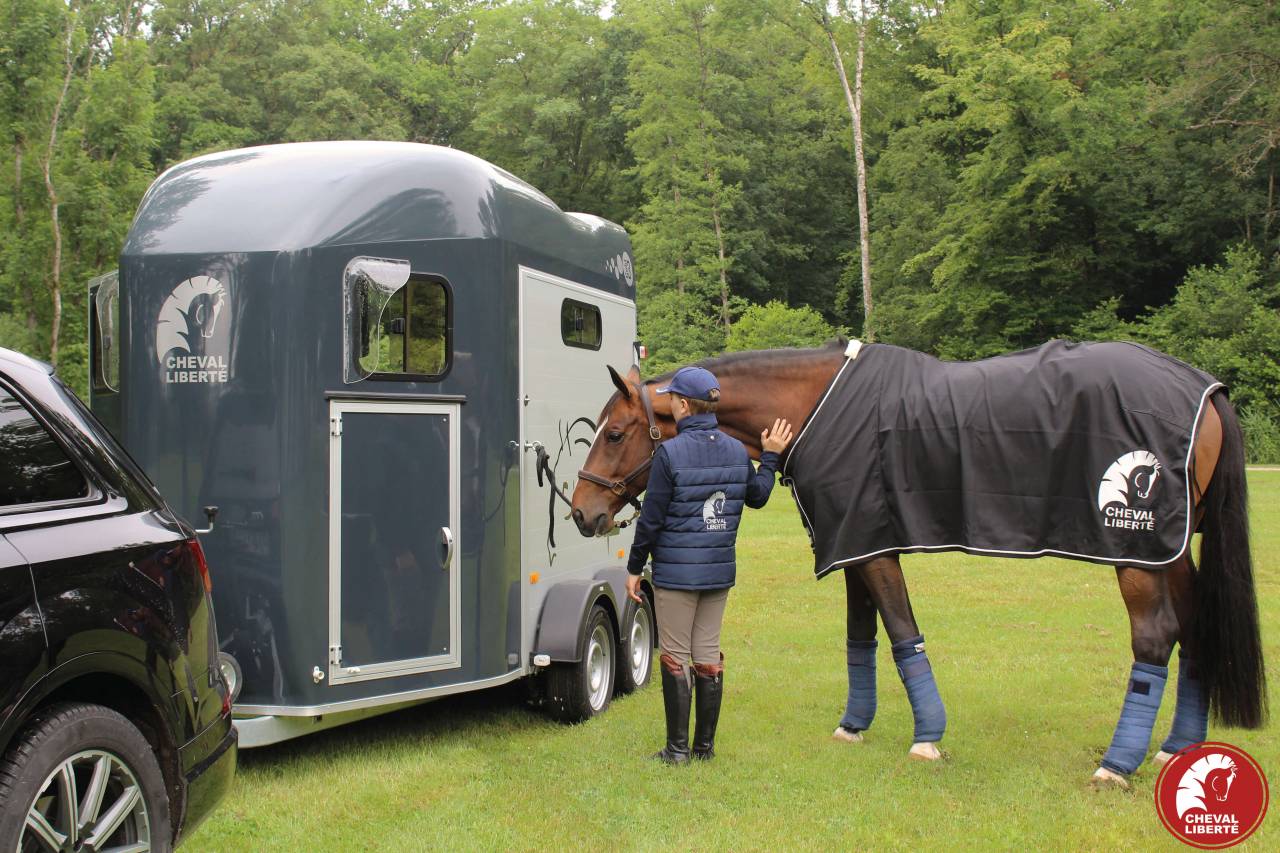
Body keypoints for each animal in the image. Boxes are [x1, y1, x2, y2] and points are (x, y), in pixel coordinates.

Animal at [568, 342, 1267, 787]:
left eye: (614, 433)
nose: (580, 513)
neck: (819, 403)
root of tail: (1206, 390)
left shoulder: (873, 546)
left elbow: (902, 632)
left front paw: (927, 737)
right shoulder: (856, 542)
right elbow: (862, 635)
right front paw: (853, 726)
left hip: (1137, 554)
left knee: (1155, 637)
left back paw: (1118, 764)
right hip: (1170, 548)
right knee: (1196, 625)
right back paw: (1177, 749)